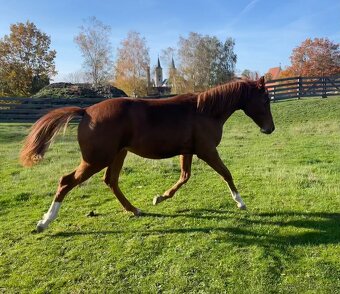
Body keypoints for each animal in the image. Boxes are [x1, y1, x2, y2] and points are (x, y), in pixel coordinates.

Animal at [19, 76, 274, 232]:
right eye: (264, 99)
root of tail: (86, 111)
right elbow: (226, 173)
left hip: (117, 155)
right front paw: (240, 202)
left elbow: (184, 177)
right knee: (66, 181)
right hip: (96, 160)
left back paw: (135, 210)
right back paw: (44, 222)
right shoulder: (207, 151)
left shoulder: (187, 152)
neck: (204, 111)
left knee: (111, 181)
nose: (269, 129)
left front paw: (159, 197)